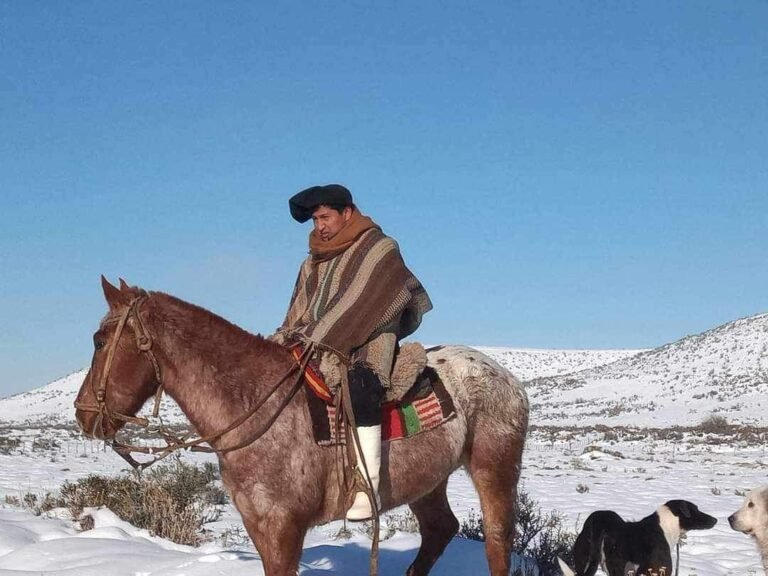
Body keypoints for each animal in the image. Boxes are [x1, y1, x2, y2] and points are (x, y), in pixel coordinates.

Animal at [75, 277, 529, 576]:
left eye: (99, 340)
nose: (82, 414)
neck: (254, 404)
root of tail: (506, 377)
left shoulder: (283, 529)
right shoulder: (259, 526)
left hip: (493, 469)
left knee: (497, 539)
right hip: (429, 482)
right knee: (440, 530)